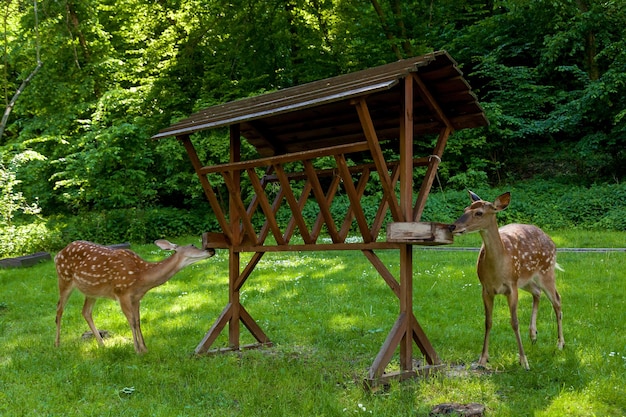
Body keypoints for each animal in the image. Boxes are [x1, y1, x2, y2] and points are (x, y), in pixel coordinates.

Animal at [51, 239, 212, 352]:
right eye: (193, 244)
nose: (211, 250)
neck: (141, 277)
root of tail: (57, 255)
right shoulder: (122, 293)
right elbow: (132, 321)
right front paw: (137, 350)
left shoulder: (136, 298)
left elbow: (138, 321)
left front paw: (145, 348)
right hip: (64, 278)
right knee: (59, 309)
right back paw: (57, 344)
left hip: (91, 290)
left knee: (85, 311)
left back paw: (102, 344)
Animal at [446, 190, 564, 368]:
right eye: (465, 209)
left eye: (479, 213)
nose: (453, 226)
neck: (498, 268)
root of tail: (552, 241)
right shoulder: (486, 289)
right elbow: (488, 322)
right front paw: (482, 359)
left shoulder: (511, 287)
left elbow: (514, 322)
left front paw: (524, 361)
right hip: (526, 280)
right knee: (537, 292)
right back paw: (533, 335)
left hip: (546, 271)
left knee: (557, 300)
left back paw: (560, 344)